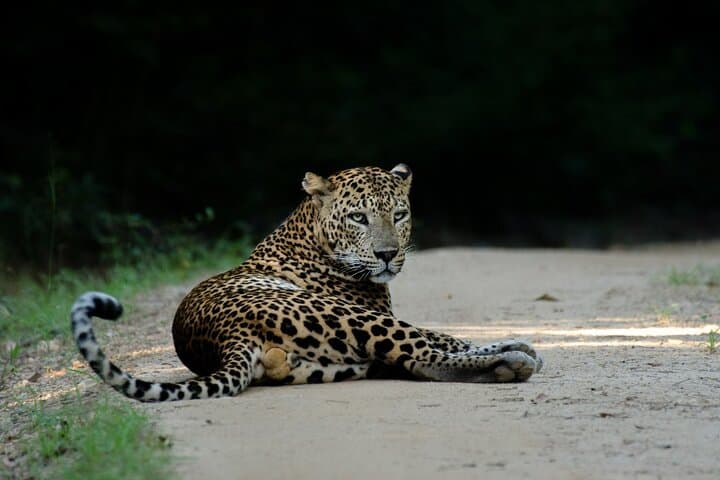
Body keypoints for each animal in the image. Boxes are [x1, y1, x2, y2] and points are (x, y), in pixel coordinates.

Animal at [71, 164, 542, 402]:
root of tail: (222, 337)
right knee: (420, 350)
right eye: (359, 217)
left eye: (399, 214)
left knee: (413, 359)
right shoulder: (375, 312)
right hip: (345, 317)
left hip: (330, 363)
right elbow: (442, 336)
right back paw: (515, 360)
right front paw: (517, 345)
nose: (387, 254)